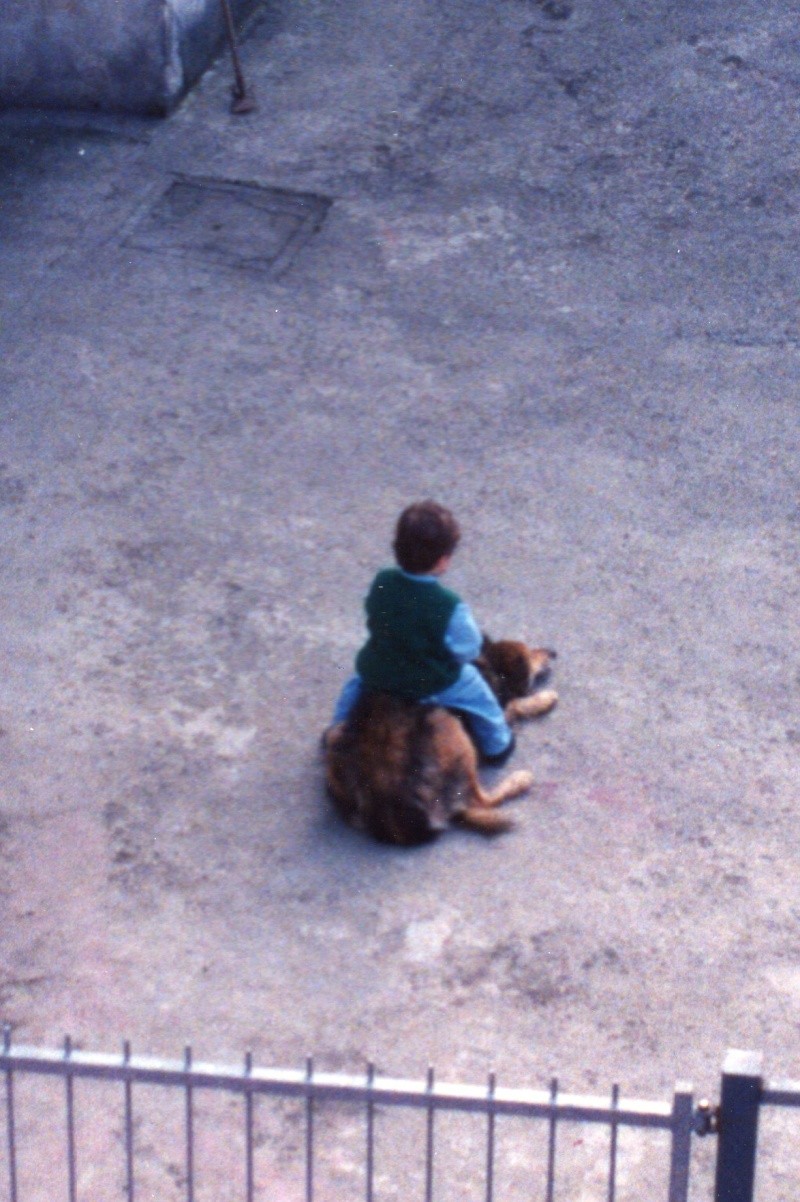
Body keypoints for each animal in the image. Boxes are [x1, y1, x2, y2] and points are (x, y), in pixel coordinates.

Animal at [321, 639, 554, 846]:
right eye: (530, 654)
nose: (553, 653)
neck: (488, 662)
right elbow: (515, 705)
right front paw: (543, 699)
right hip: (448, 723)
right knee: (480, 800)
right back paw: (519, 780)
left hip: (334, 734)